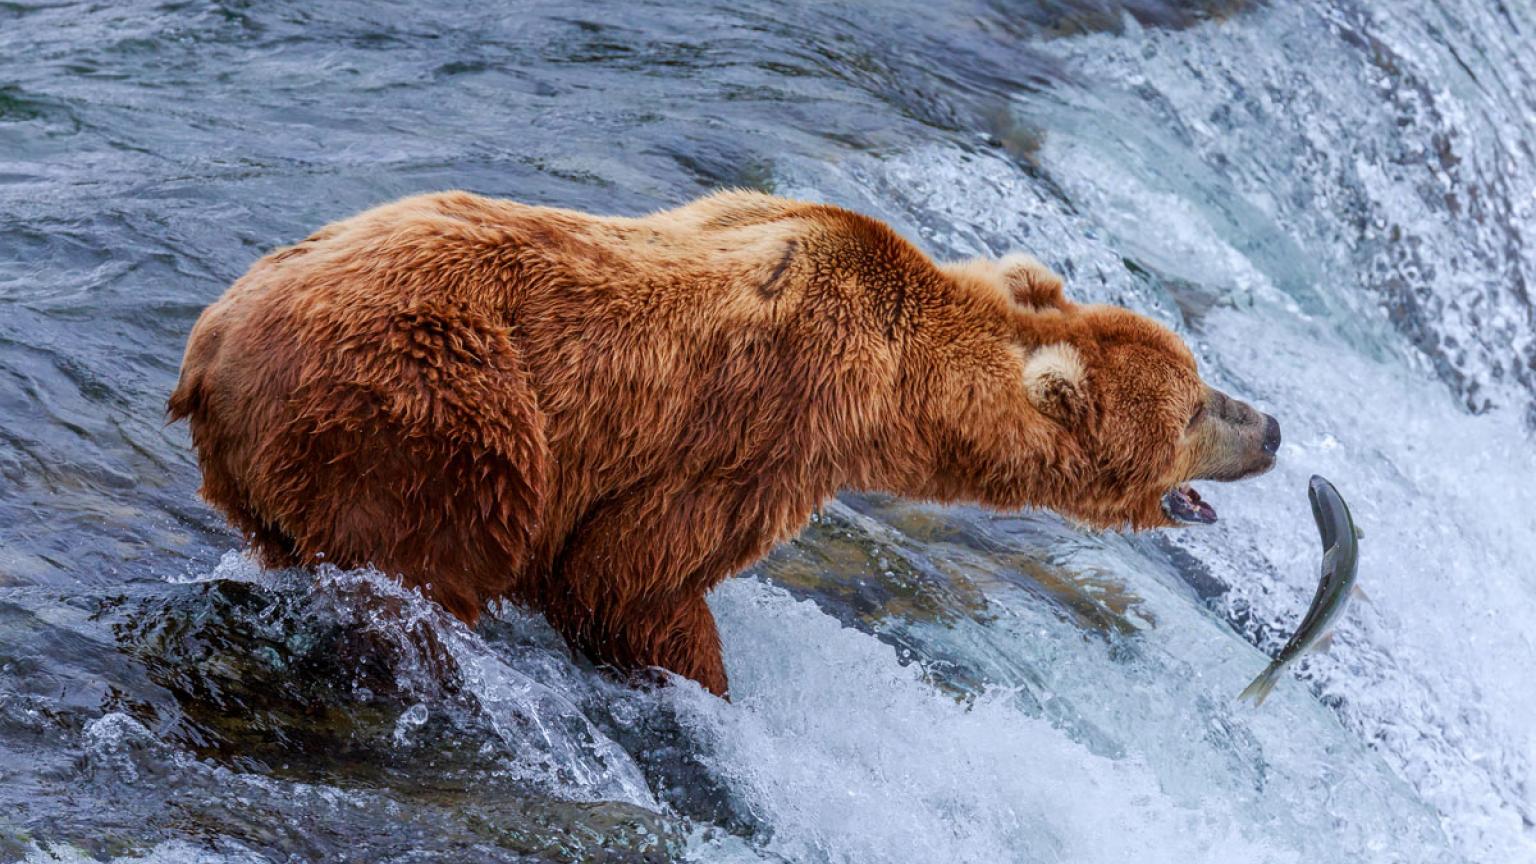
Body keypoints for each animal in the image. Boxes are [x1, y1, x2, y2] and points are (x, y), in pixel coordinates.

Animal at [168, 188, 1277, 691]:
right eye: (1196, 409)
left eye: (1203, 382)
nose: (1271, 424)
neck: (896, 385)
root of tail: (210, 343)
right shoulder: (772, 419)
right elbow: (632, 575)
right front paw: (699, 672)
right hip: (430, 414)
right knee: (433, 557)